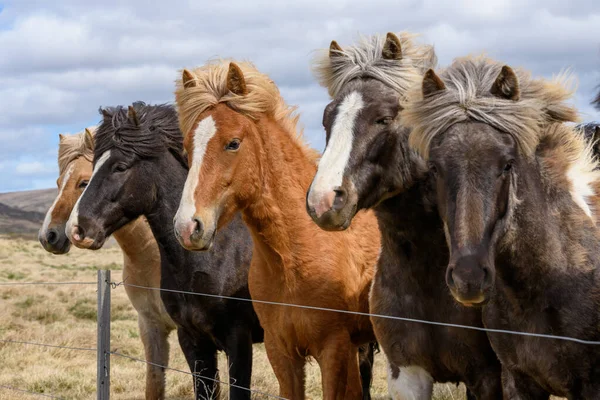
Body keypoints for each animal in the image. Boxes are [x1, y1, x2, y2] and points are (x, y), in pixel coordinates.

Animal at [37, 128, 176, 400]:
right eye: (58, 183)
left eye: (83, 182)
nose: (48, 236)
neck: (153, 254)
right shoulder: (151, 325)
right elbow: (154, 385)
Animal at [173, 60, 380, 400]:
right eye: (187, 147)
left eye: (233, 143)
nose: (188, 226)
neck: (294, 255)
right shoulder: (280, 352)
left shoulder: (334, 349)